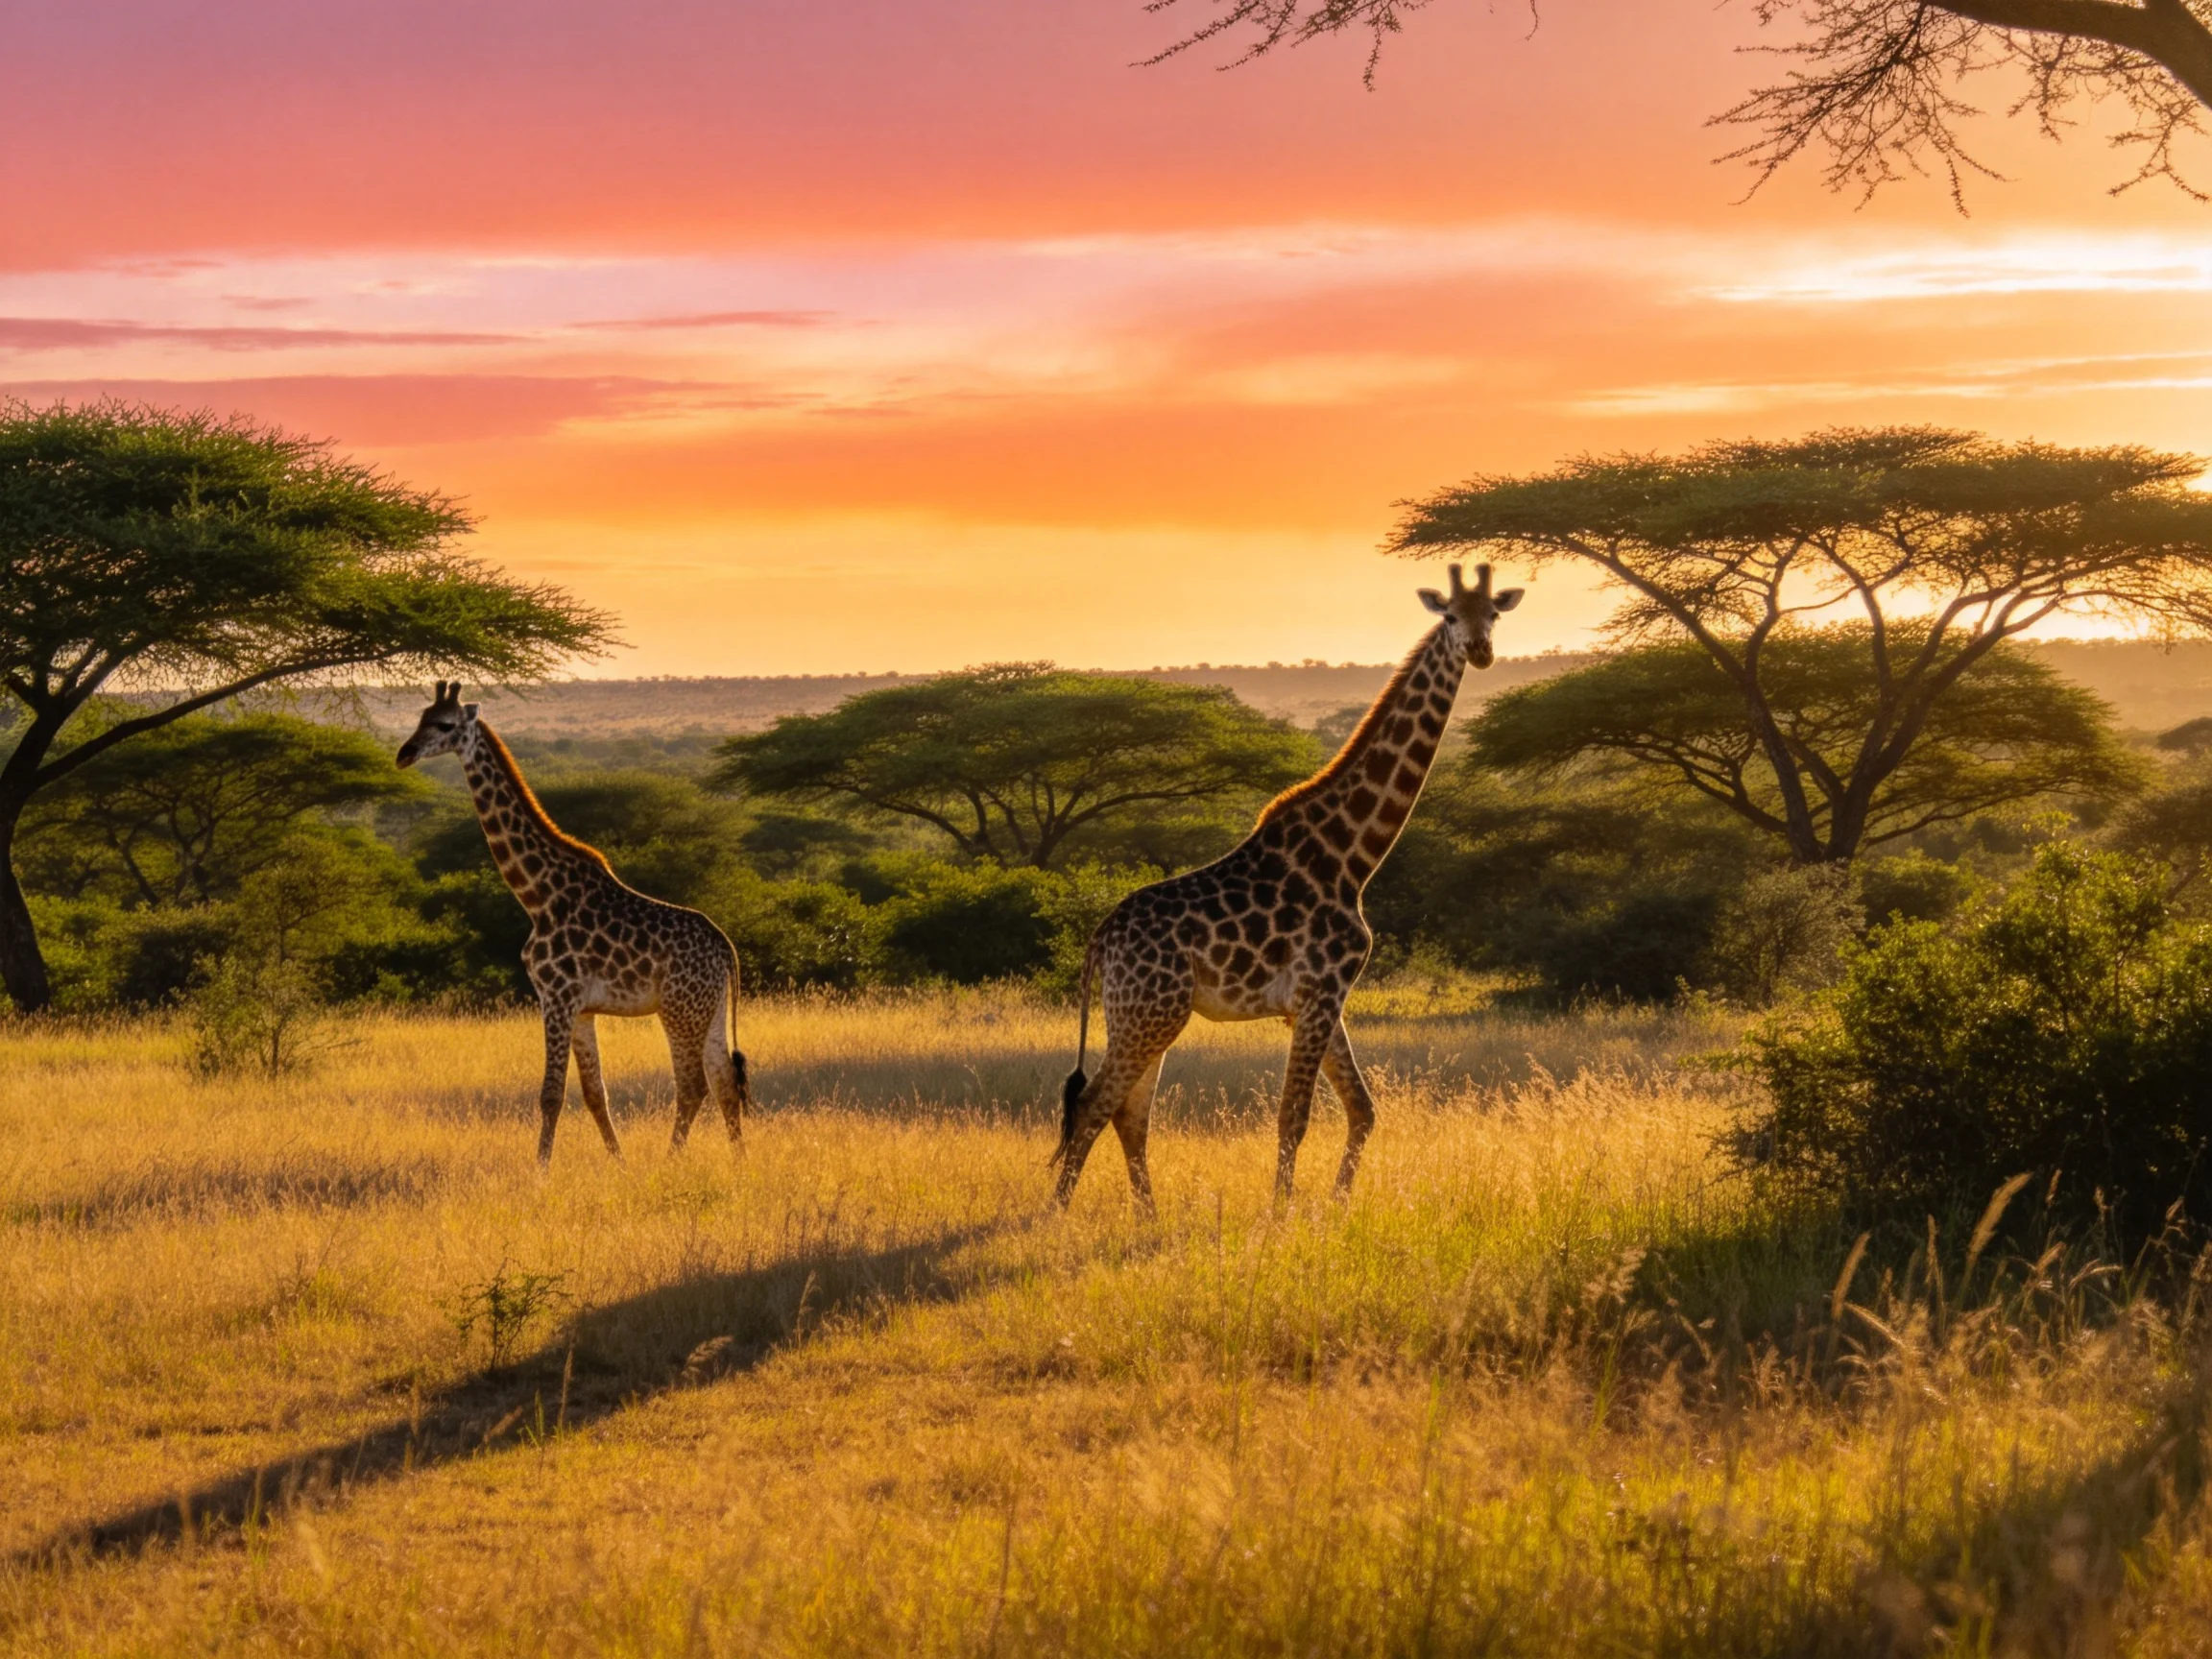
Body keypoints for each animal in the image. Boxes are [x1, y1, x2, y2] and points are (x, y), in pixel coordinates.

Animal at [396, 683, 750, 1164]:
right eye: (420, 717)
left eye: (445, 724)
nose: (405, 753)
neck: (538, 897)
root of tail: (725, 949)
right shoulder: (581, 1009)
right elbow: (594, 1093)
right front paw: (620, 1164)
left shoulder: (557, 997)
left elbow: (551, 1094)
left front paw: (540, 1171)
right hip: (708, 1009)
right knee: (725, 1082)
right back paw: (740, 1162)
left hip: (679, 1009)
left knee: (694, 1085)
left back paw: (671, 1161)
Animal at [1052, 563, 1522, 1209]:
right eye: (1450, 615)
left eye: (1494, 614)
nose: (1479, 651)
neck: (1352, 858)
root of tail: (1101, 939)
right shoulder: (1320, 991)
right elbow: (1294, 1116)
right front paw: (1282, 1213)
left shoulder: (1322, 998)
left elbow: (1362, 1109)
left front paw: (1336, 1207)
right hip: (1151, 1013)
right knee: (1095, 1103)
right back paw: (1055, 1215)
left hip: (1141, 1014)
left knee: (1127, 1112)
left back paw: (1148, 1218)